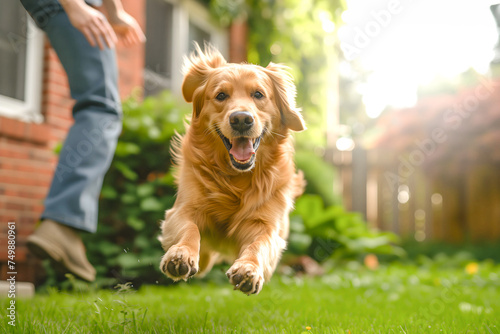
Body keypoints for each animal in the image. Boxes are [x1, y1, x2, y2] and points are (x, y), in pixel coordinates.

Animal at [158, 43, 304, 294]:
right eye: (221, 95)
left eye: (258, 94)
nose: (241, 119)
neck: (236, 178)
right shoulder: (182, 210)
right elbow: (189, 229)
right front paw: (181, 254)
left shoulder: (265, 225)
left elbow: (259, 244)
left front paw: (248, 269)